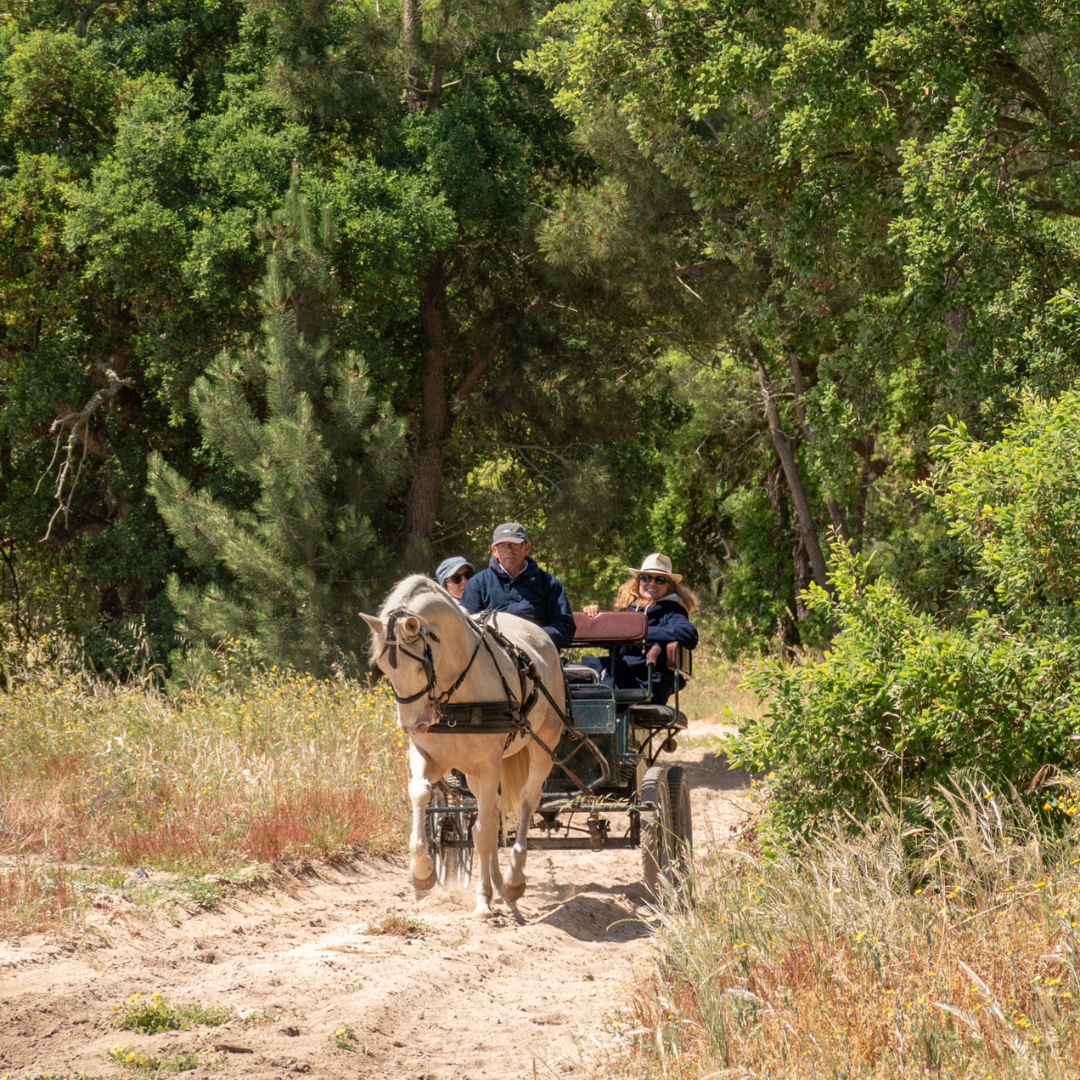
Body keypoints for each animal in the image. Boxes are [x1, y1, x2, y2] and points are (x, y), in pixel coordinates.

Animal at [362, 578, 565, 915]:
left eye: (419, 668)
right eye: (384, 668)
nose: (411, 725)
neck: (455, 694)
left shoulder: (490, 763)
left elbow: (481, 833)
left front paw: (483, 901)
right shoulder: (427, 755)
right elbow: (420, 793)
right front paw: (422, 873)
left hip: (543, 745)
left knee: (526, 800)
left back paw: (512, 880)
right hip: (473, 772)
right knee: (492, 814)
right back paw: (499, 884)